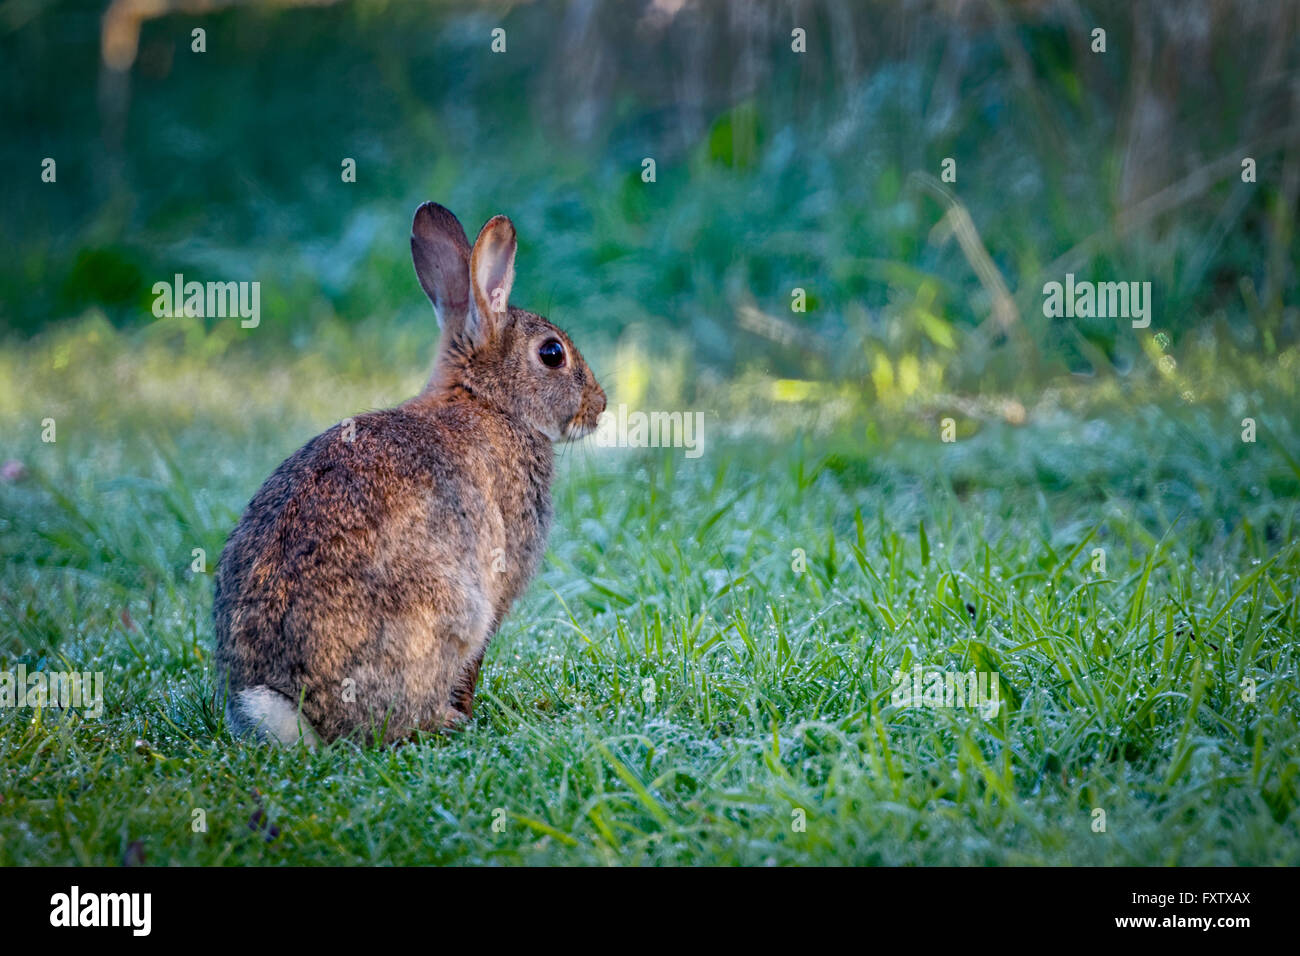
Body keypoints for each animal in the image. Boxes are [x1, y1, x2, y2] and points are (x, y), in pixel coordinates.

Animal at [213, 202, 606, 746]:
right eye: (552, 354)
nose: (600, 406)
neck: (487, 400)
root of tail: (295, 708)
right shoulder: (498, 584)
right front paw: (468, 708)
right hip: (449, 610)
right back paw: (447, 720)